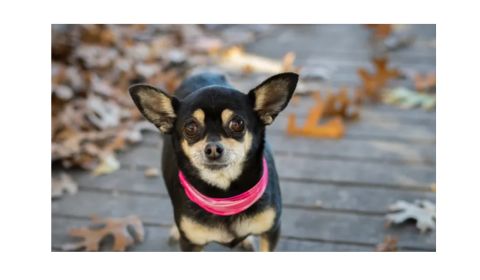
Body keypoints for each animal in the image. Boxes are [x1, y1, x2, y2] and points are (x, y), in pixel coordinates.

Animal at [129, 72, 298, 252]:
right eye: (190, 128)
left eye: (237, 124)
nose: (213, 149)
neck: (225, 197)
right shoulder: (190, 244)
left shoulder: (271, 232)